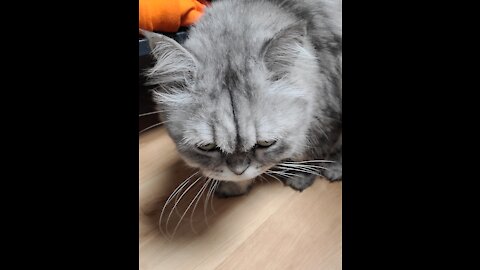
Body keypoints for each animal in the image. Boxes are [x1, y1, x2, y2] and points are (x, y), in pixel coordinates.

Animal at [142, 0, 342, 198]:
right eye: (207, 146)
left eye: (266, 143)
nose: (238, 170)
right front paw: (235, 185)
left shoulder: (325, 112)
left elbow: (312, 151)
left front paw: (300, 177)